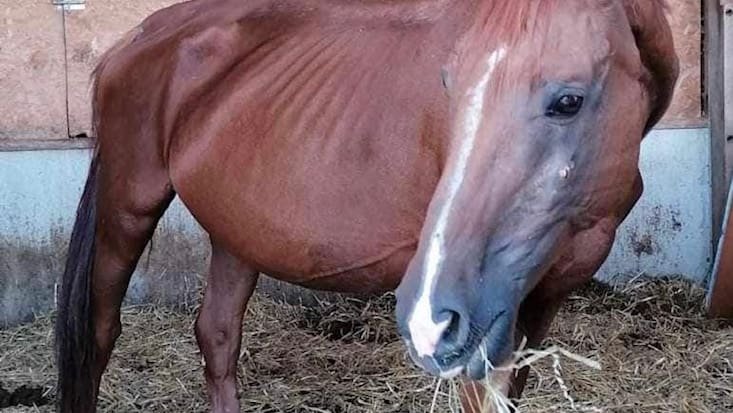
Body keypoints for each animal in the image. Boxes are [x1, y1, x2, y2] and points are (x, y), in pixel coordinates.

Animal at [54, 0, 678, 411]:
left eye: (568, 100)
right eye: (449, 88)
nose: (430, 313)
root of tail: (135, 40)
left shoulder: (539, 301)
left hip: (236, 232)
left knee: (218, 336)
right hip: (127, 208)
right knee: (100, 334)